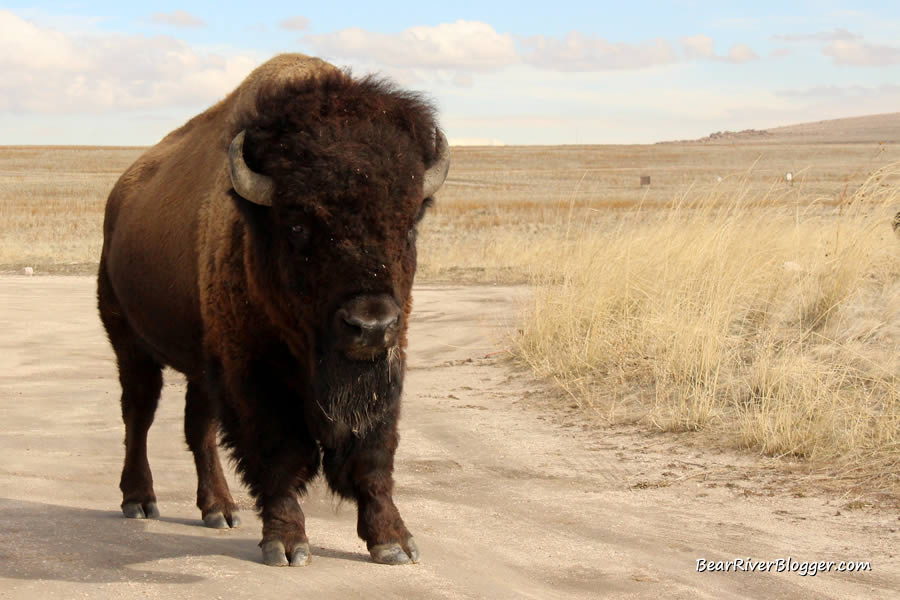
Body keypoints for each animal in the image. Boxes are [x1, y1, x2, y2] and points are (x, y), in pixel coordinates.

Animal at [98, 54, 450, 564]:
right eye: (298, 224)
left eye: (409, 223)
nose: (370, 324)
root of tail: (119, 199)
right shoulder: (253, 373)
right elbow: (279, 455)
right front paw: (286, 543)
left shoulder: (386, 366)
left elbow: (373, 452)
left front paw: (393, 541)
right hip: (130, 342)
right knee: (138, 415)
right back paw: (139, 500)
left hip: (201, 361)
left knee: (198, 427)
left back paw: (219, 508)